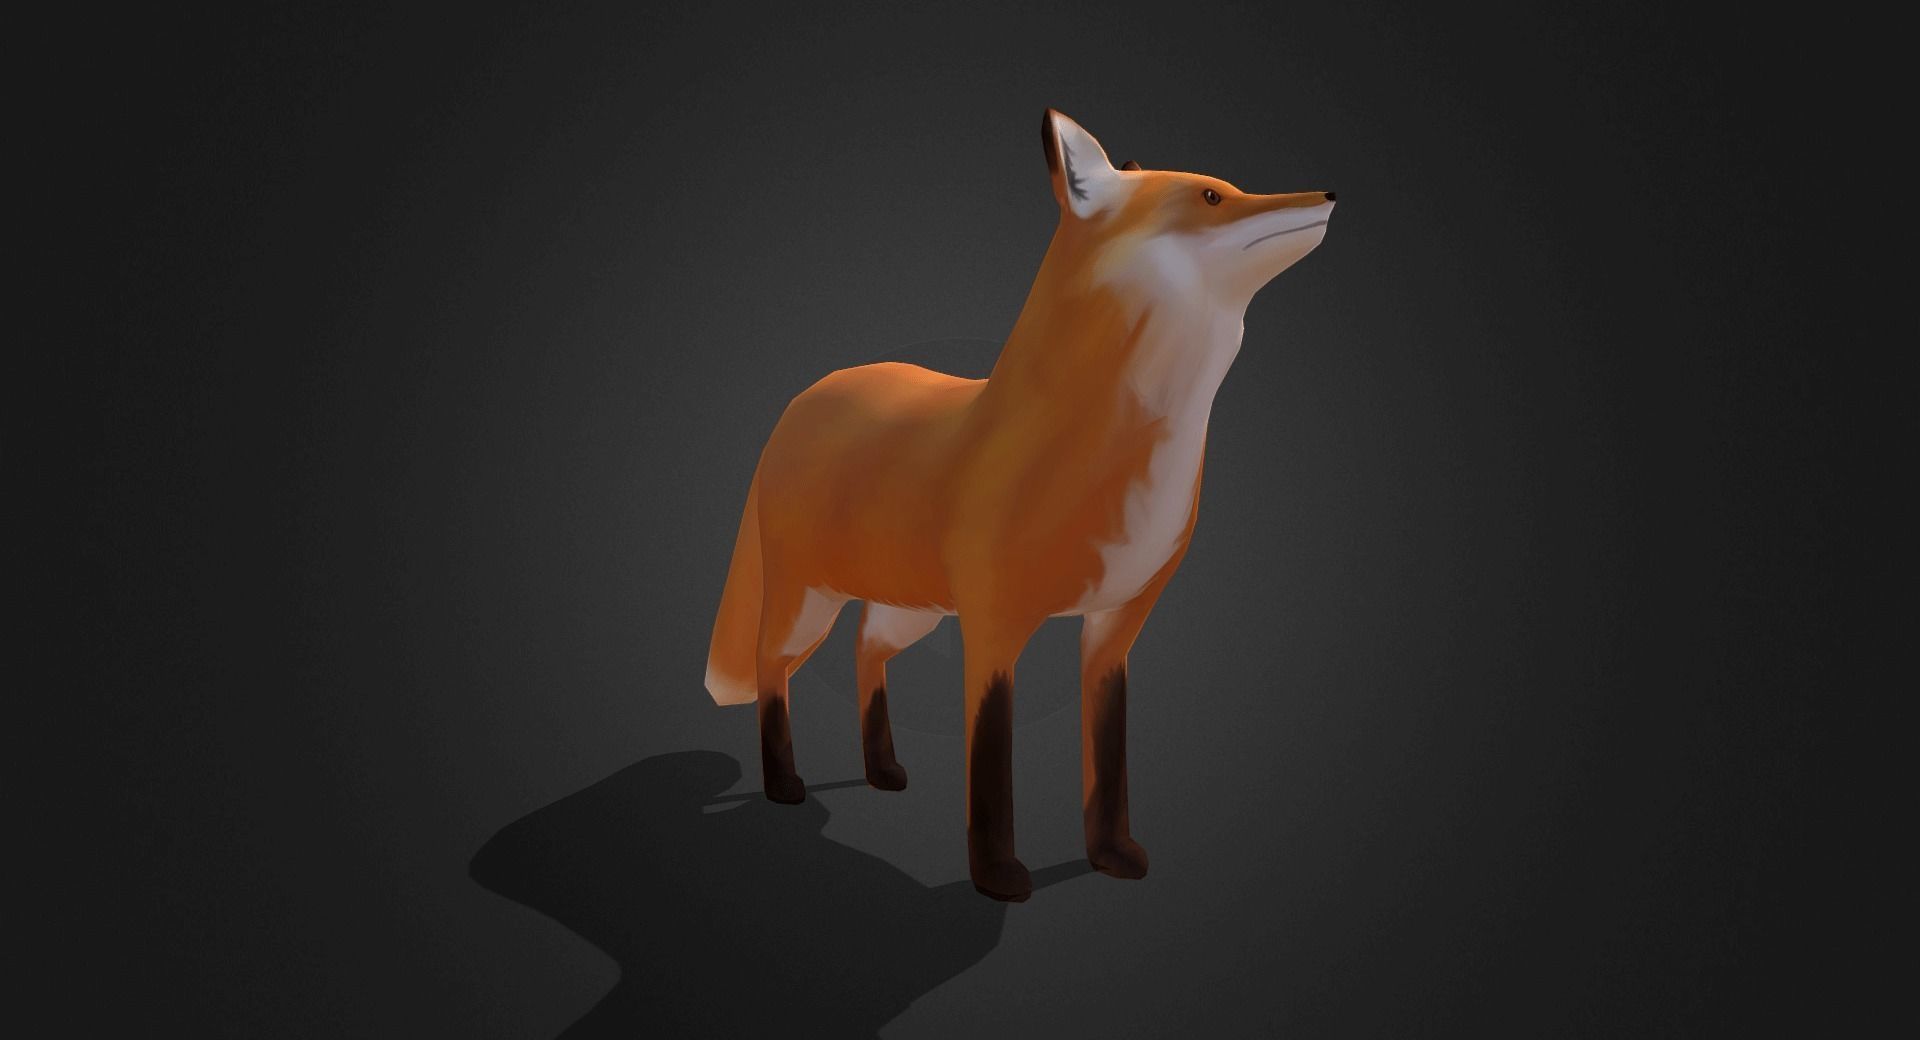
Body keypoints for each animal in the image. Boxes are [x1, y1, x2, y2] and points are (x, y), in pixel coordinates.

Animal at [705, 109, 1335, 901]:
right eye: (1212, 196)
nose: (1329, 194)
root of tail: (806, 395)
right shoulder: (993, 628)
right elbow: (990, 763)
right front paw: (997, 874)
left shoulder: (1115, 628)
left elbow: (1108, 764)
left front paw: (1112, 855)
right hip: (807, 603)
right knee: (771, 669)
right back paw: (782, 782)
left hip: (909, 611)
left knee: (864, 652)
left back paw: (880, 769)